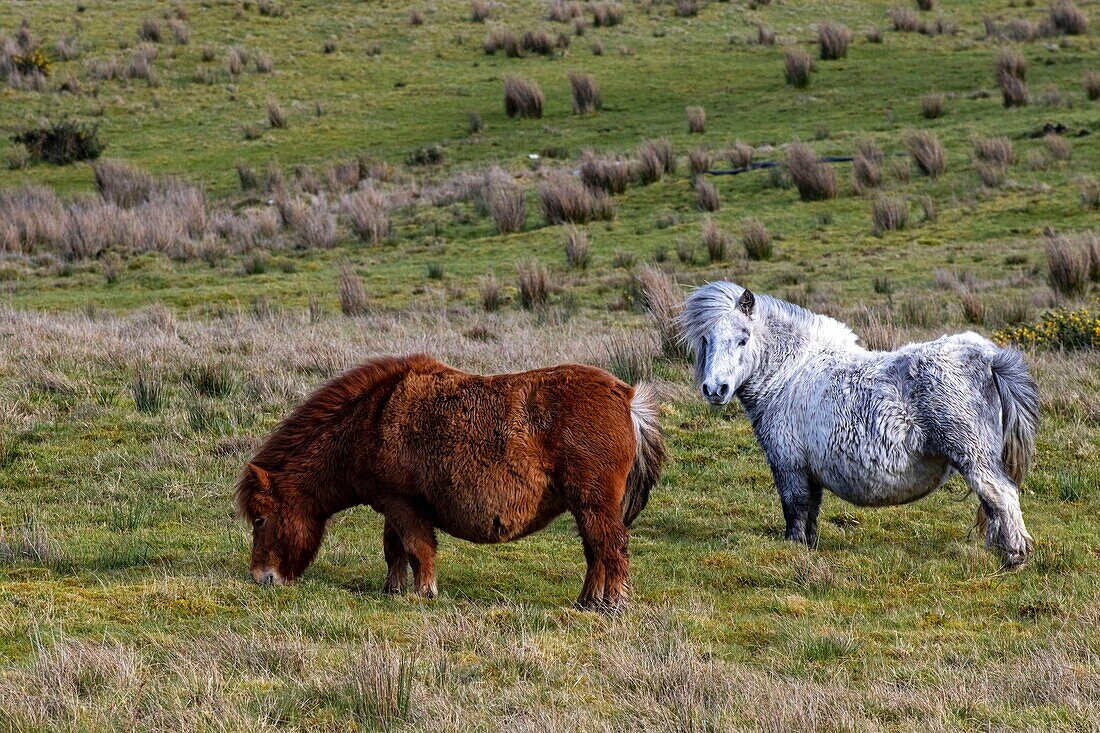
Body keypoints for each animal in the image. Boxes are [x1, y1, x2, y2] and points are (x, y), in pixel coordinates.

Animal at [234, 352, 660, 607]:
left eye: (260, 520)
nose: (259, 578)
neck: (371, 419)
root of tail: (625, 396)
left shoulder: (405, 506)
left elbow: (418, 550)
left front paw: (423, 592)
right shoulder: (393, 505)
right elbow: (394, 550)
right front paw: (392, 590)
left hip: (592, 504)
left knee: (611, 549)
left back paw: (612, 605)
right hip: (587, 507)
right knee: (596, 552)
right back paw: (588, 602)